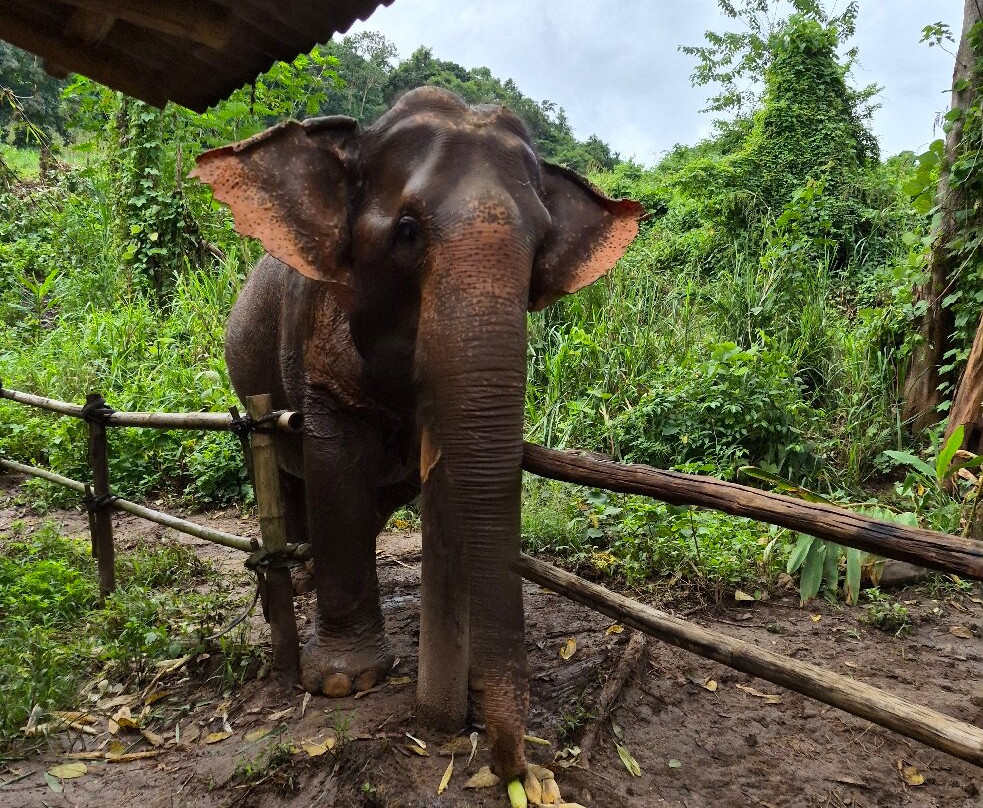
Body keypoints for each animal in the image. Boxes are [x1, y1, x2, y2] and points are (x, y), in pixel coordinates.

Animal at [191, 86, 642, 783]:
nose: (518, 771)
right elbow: (336, 469)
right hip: (246, 394)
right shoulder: (317, 345)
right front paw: (344, 683)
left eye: (541, 249)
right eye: (406, 232)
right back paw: (292, 587)